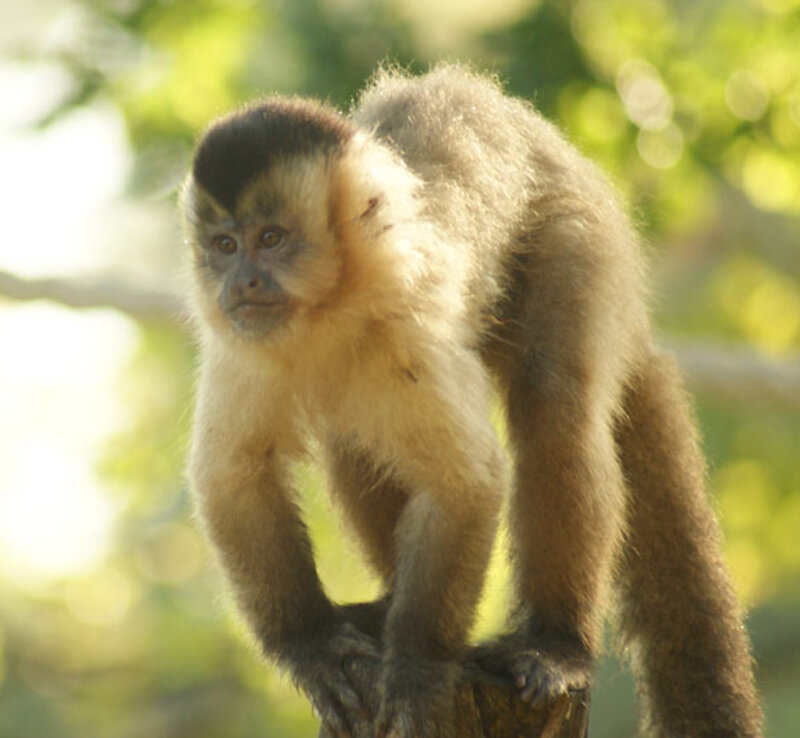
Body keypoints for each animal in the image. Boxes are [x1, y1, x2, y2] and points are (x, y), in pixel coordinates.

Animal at [181, 64, 764, 736]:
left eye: (271, 239)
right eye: (225, 246)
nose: (241, 281)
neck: (333, 306)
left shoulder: (411, 318)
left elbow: (465, 482)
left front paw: (417, 668)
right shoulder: (238, 339)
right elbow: (235, 476)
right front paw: (314, 646)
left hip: (581, 230)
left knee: (555, 408)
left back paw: (554, 644)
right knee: (353, 437)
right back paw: (387, 605)